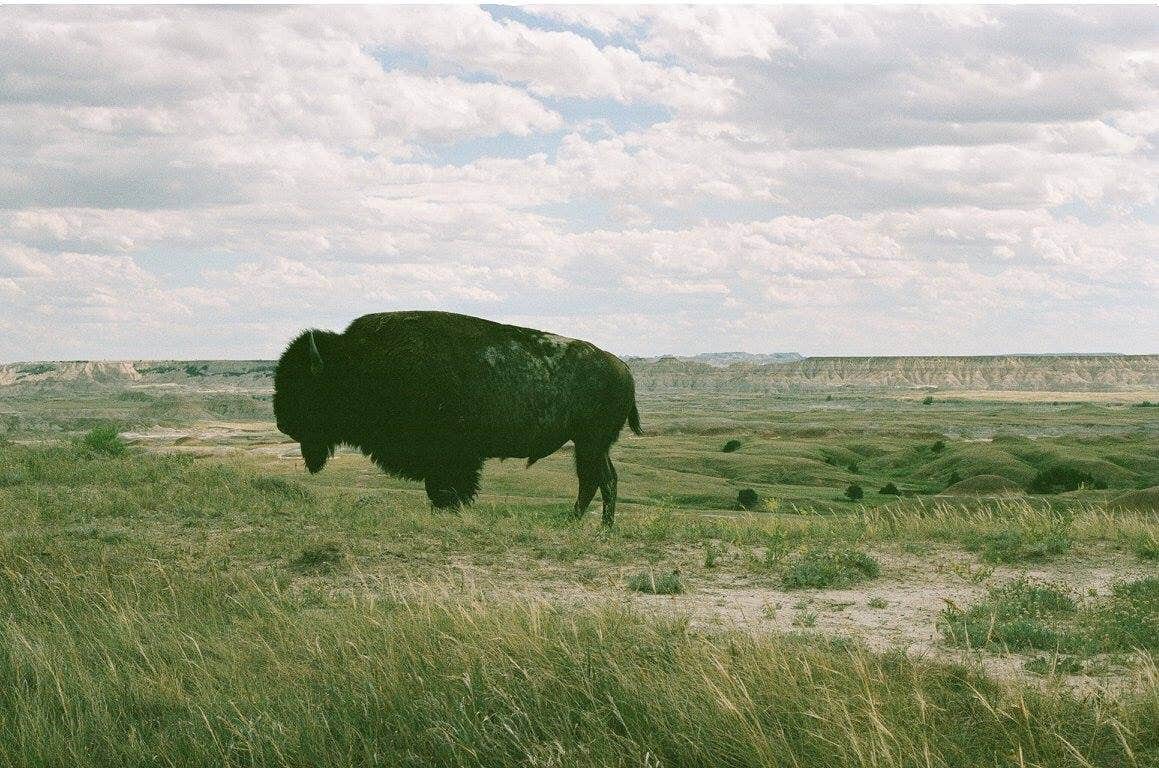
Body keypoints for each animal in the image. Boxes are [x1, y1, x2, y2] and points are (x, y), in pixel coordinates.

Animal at [277, 310, 649, 525]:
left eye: (305, 385)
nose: (282, 422)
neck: (359, 364)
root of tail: (622, 366)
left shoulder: (451, 457)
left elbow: (447, 490)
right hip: (589, 444)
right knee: (596, 479)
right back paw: (578, 523)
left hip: (591, 443)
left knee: (601, 479)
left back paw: (597, 526)